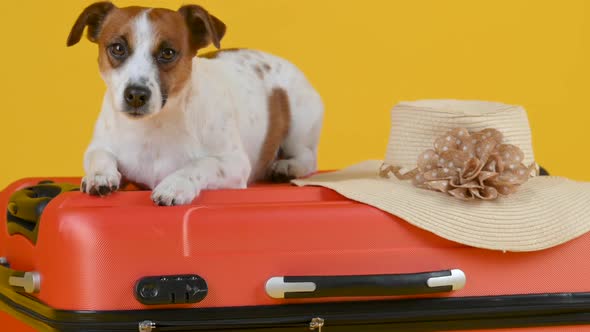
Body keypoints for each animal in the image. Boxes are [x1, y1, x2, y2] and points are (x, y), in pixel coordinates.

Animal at [67, 1, 326, 205]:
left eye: (168, 53)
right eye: (118, 48)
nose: (136, 94)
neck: (153, 127)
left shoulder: (234, 163)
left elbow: (202, 164)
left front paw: (176, 184)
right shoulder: (99, 146)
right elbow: (100, 156)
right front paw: (99, 175)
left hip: (299, 126)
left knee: (308, 158)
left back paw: (286, 166)